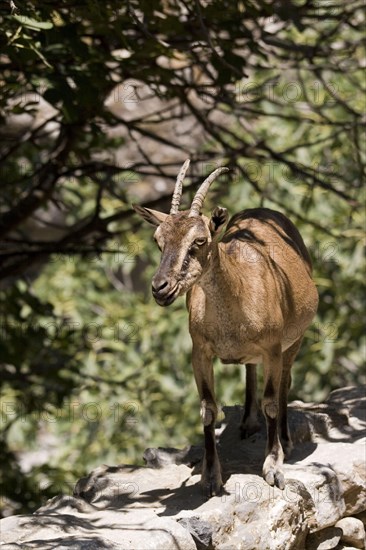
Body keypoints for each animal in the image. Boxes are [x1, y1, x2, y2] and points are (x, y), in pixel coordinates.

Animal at [134, 161, 318, 500]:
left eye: (199, 240)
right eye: (157, 240)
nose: (160, 288)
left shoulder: (273, 348)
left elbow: (271, 401)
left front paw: (273, 468)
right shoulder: (200, 351)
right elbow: (208, 409)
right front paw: (210, 477)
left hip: (295, 340)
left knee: (285, 383)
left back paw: (285, 440)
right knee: (250, 369)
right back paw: (247, 424)